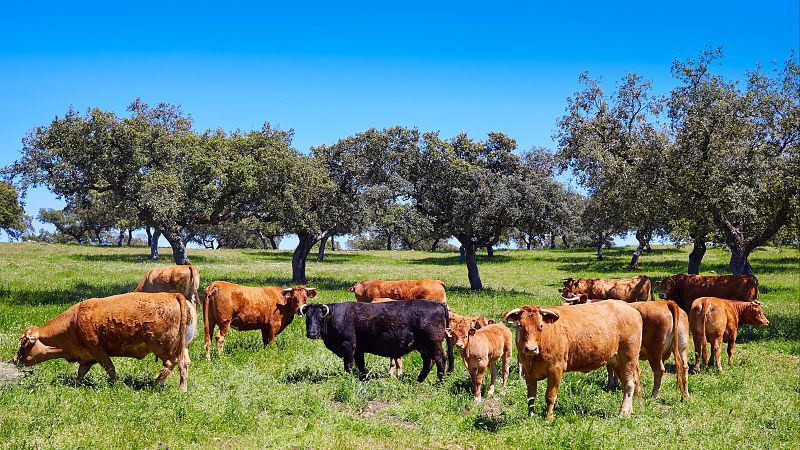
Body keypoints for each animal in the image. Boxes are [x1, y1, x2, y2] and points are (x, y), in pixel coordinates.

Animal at [12, 292, 195, 391]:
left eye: (23, 343)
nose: (14, 359)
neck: (73, 321)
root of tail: (173, 295)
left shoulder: (98, 351)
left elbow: (110, 369)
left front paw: (115, 385)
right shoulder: (87, 357)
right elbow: (81, 372)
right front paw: (77, 385)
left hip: (162, 347)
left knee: (171, 363)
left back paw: (155, 384)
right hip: (183, 348)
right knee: (184, 364)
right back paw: (182, 389)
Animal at [298, 299, 451, 383]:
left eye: (320, 318)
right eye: (308, 318)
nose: (312, 333)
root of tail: (438, 304)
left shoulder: (348, 346)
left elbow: (348, 365)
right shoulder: (358, 349)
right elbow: (361, 365)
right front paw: (363, 378)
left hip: (434, 344)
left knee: (440, 360)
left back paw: (438, 383)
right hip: (423, 346)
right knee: (428, 362)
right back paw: (419, 380)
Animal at [503, 301, 642, 421]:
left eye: (540, 326)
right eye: (520, 325)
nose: (531, 348)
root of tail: (628, 306)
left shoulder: (555, 369)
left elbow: (550, 396)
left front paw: (548, 418)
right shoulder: (528, 372)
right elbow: (531, 397)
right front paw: (530, 416)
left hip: (628, 357)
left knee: (629, 384)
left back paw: (623, 412)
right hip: (616, 361)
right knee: (627, 383)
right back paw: (629, 410)